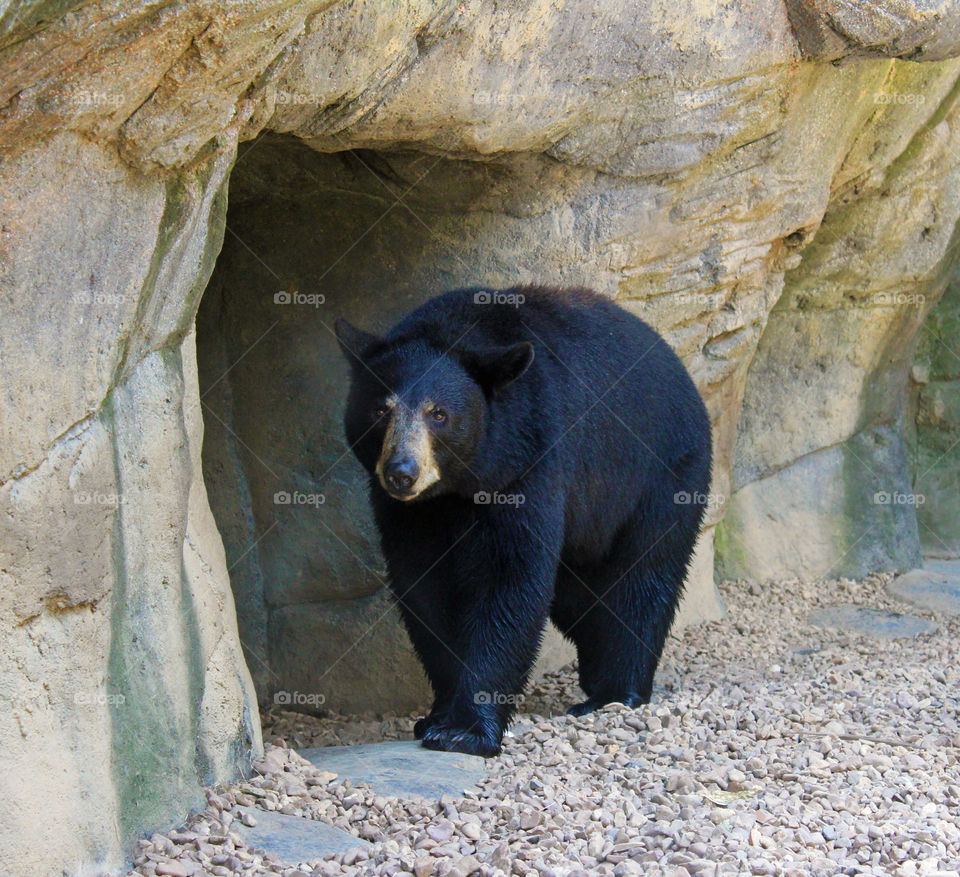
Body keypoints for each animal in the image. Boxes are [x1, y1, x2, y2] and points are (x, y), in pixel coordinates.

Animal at [335, 285, 711, 757]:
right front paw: (437, 715)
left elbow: (509, 582)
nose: (401, 472)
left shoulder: (528, 462)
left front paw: (465, 730)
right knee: (582, 598)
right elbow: (424, 588)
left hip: (659, 474)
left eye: (438, 413)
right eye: (380, 411)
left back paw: (613, 692)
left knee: (640, 579)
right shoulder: (407, 512)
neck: (457, 487)